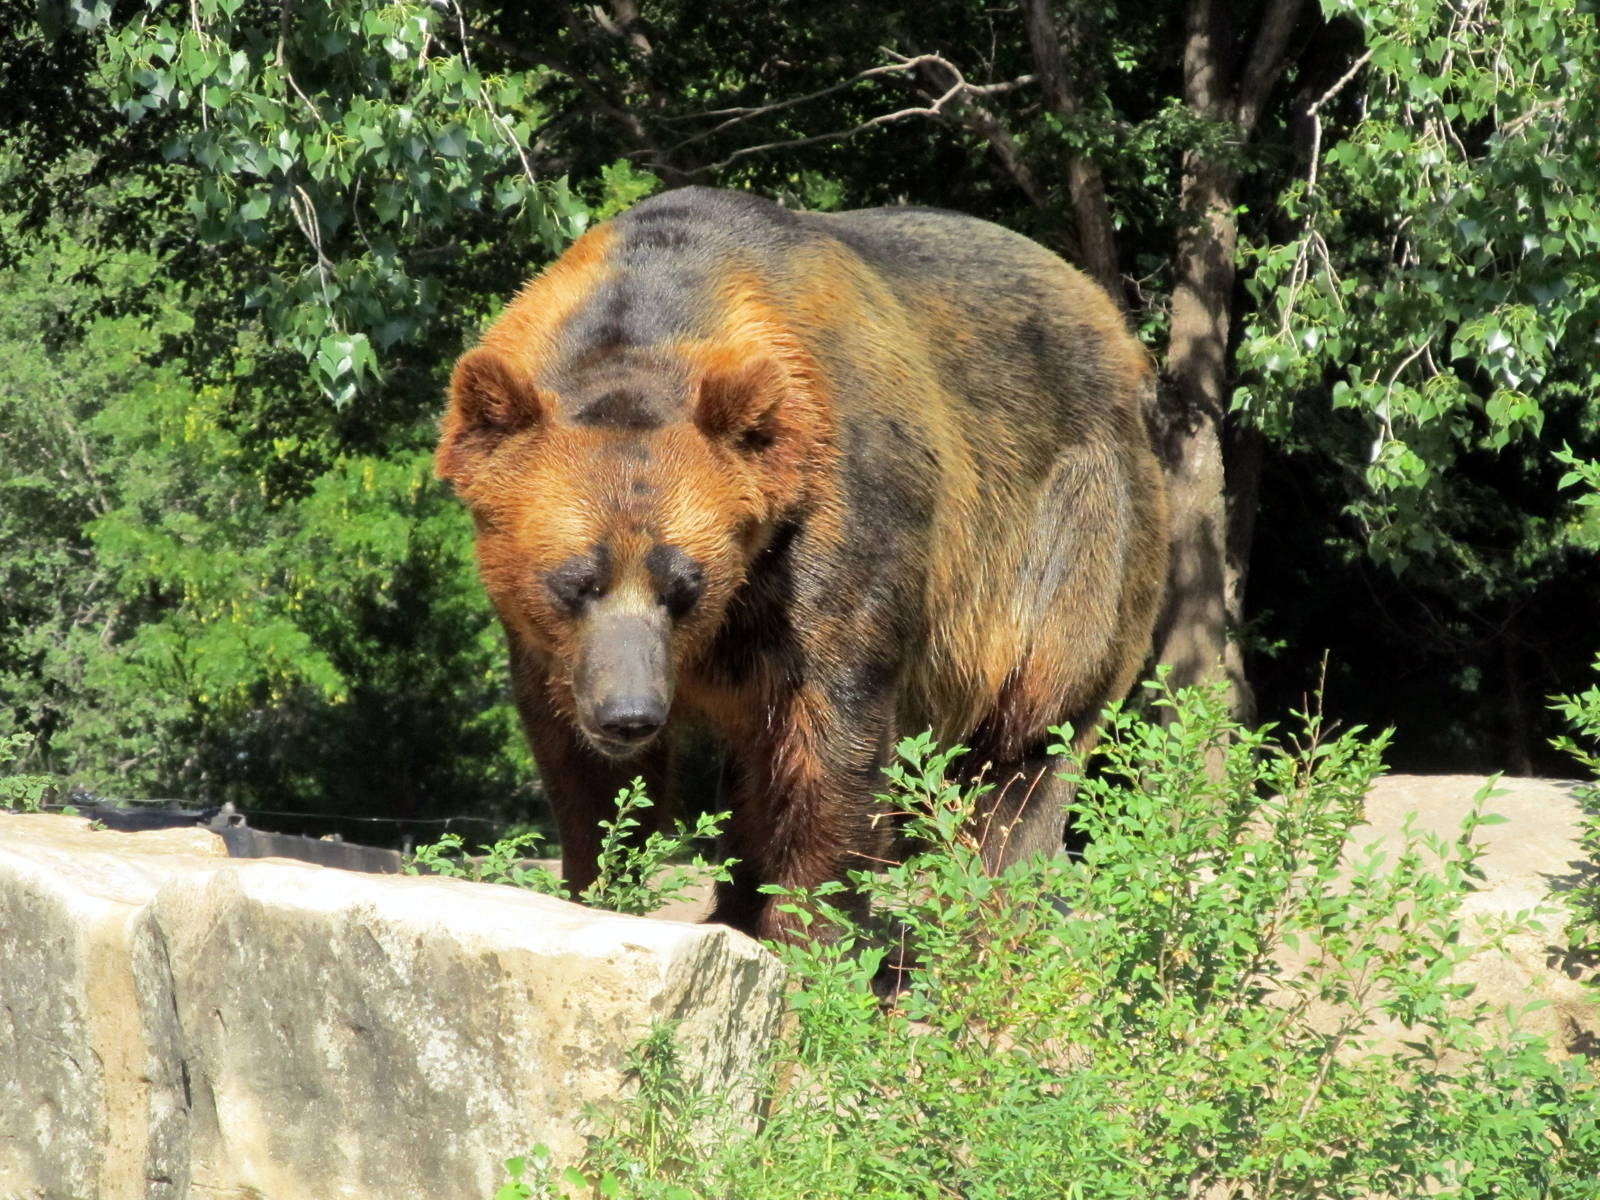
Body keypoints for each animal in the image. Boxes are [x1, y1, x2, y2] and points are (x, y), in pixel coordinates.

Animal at [436, 187, 1168, 942]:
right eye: (578, 579)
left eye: (685, 585)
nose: (629, 714)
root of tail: (1122, 335)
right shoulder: (558, 650)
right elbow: (583, 774)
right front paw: (602, 882)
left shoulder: (834, 532)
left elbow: (833, 747)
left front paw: (811, 939)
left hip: (1075, 529)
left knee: (1032, 742)